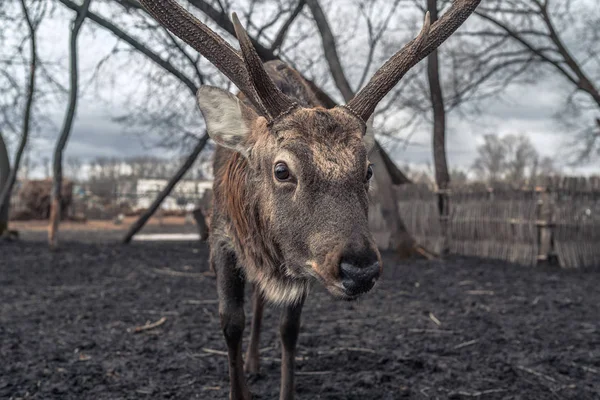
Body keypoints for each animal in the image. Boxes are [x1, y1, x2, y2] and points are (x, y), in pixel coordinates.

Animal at [138, 1, 480, 398]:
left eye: (367, 170)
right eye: (281, 169)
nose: (360, 269)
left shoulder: (303, 260)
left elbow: (289, 329)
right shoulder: (221, 238)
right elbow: (231, 323)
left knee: (262, 297)